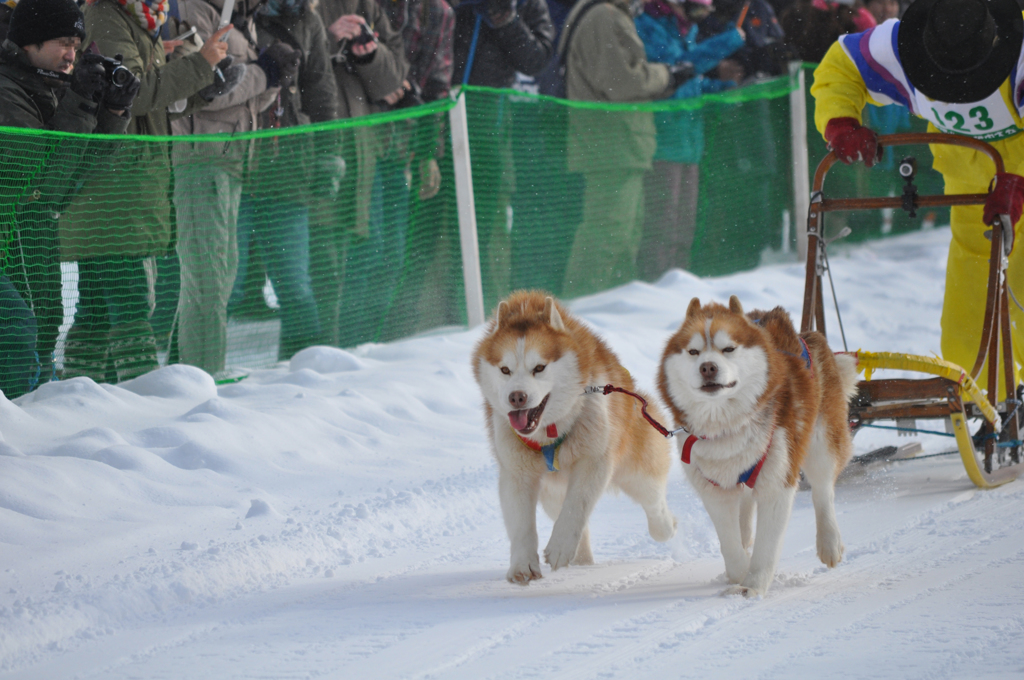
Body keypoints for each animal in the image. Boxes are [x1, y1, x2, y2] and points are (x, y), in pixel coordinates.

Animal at [473, 288, 679, 581]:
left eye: (539, 368)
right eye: (505, 370)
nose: (516, 397)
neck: (550, 432)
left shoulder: (595, 460)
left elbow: (576, 505)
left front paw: (559, 547)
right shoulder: (516, 474)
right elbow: (522, 524)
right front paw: (523, 564)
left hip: (637, 470)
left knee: (654, 503)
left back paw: (665, 525)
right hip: (551, 491)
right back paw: (582, 562)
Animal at [655, 296, 856, 593]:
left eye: (728, 349)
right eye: (693, 352)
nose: (708, 367)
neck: (726, 426)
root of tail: (806, 335)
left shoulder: (777, 481)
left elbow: (767, 545)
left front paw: (753, 586)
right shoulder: (713, 488)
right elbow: (729, 543)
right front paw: (739, 571)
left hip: (821, 443)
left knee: (823, 491)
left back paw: (829, 543)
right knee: (746, 504)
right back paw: (745, 533)